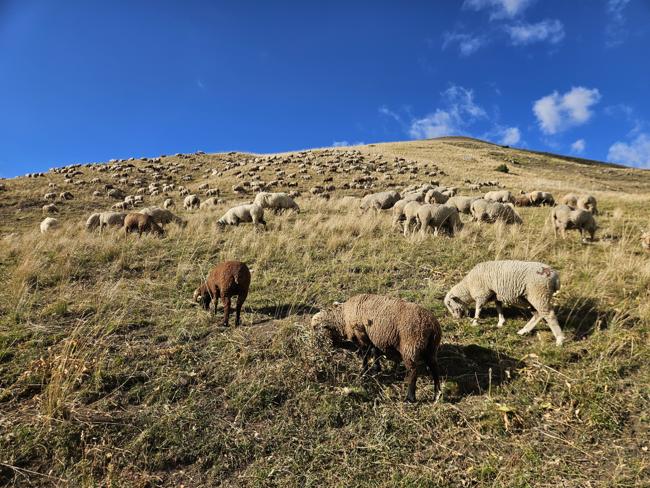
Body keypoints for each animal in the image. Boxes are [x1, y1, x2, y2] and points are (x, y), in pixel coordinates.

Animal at [311, 294, 442, 402]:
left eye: (316, 328)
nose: (315, 345)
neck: (342, 318)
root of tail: (431, 326)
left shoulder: (361, 335)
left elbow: (365, 355)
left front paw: (364, 372)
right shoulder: (373, 336)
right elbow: (375, 351)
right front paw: (376, 368)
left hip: (410, 346)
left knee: (414, 371)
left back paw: (410, 398)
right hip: (431, 348)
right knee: (434, 368)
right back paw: (437, 394)